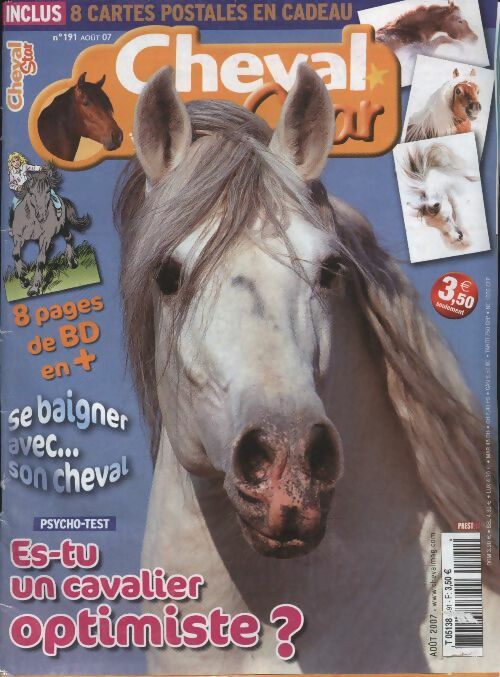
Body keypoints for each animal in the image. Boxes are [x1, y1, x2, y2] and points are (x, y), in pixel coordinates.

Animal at [10, 164, 90, 295]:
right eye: (31, 193)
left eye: (48, 191)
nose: (42, 216)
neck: (32, 220)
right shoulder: (19, 237)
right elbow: (16, 255)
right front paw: (24, 280)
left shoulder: (45, 237)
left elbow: (40, 260)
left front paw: (34, 288)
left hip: (62, 227)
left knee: (68, 237)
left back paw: (72, 262)